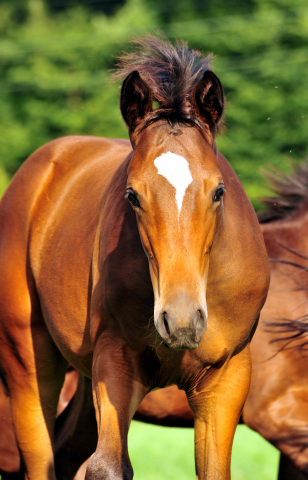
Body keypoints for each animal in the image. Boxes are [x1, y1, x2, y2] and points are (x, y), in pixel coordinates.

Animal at [0, 36, 268, 480]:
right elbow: (107, 467)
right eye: (132, 195)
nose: (181, 321)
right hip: (28, 357)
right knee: (41, 456)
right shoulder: (116, 361)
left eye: (218, 191)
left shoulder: (227, 377)